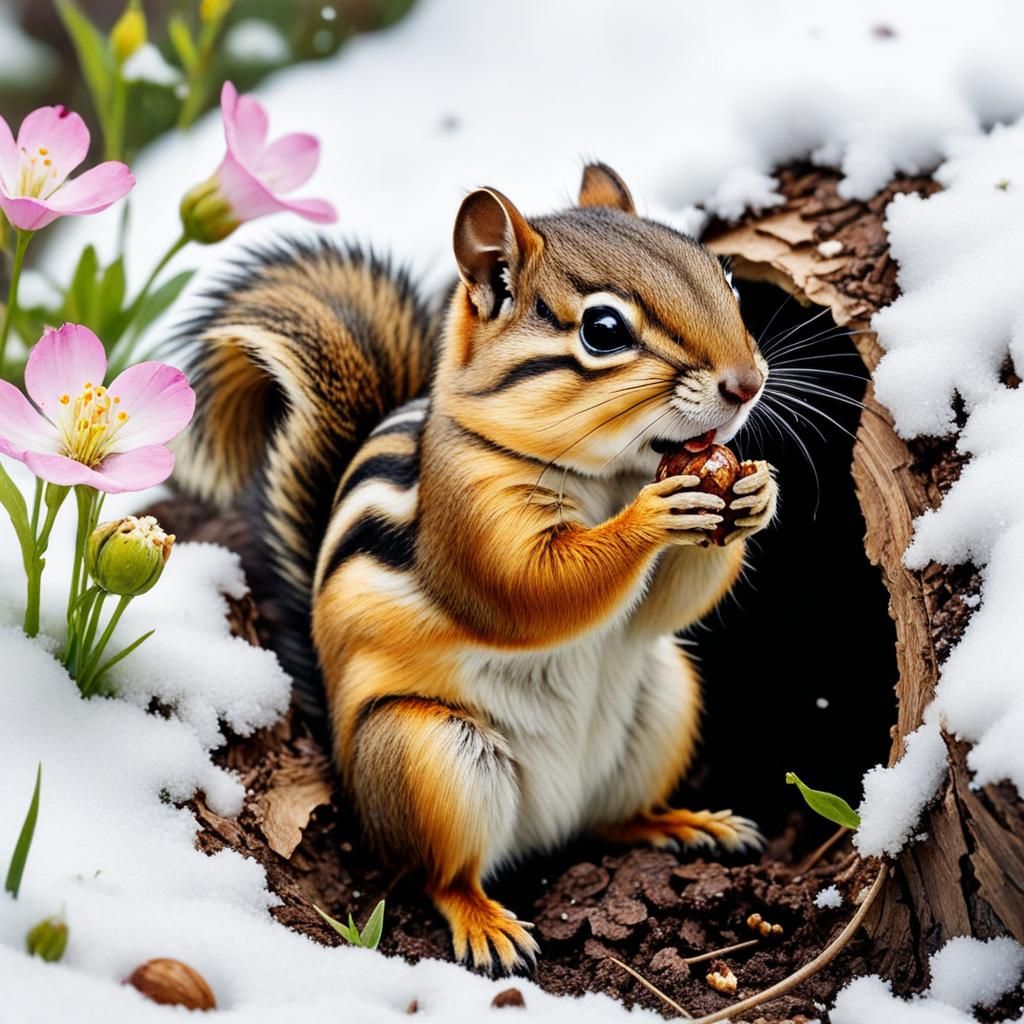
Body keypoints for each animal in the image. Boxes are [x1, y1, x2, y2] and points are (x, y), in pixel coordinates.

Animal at [177, 163, 777, 973]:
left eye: (728, 279)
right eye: (604, 331)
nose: (747, 383)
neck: (612, 476)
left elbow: (664, 606)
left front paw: (753, 492)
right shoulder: (469, 515)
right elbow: (530, 589)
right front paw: (652, 518)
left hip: (662, 702)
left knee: (608, 823)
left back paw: (681, 825)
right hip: (428, 756)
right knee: (442, 874)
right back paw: (485, 923)